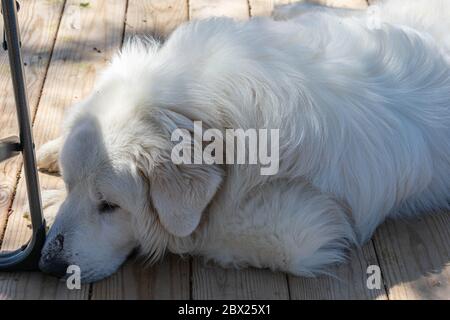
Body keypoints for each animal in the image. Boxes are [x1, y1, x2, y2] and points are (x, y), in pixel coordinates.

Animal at [36, 1, 450, 284]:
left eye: (110, 206)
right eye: (73, 186)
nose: (48, 265)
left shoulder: (297, 234)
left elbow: (193, 235)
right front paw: (53, 159)